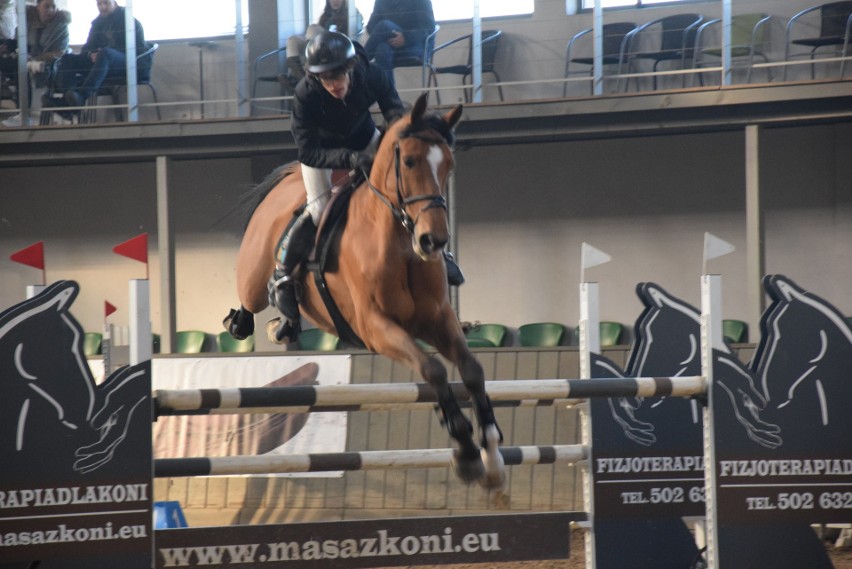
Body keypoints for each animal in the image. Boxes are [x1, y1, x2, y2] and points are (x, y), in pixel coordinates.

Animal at [225, 94, 506, 488]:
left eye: (448, 164)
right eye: (410, 161)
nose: (433, 241)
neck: (399, 244)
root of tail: (287, 181)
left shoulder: (437, 319)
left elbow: (472, 370)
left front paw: (491, 453)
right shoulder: (375, 328)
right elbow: (433, 369)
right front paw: (465, 450)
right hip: (253, 277)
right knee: (249, 298)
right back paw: (254, 320)